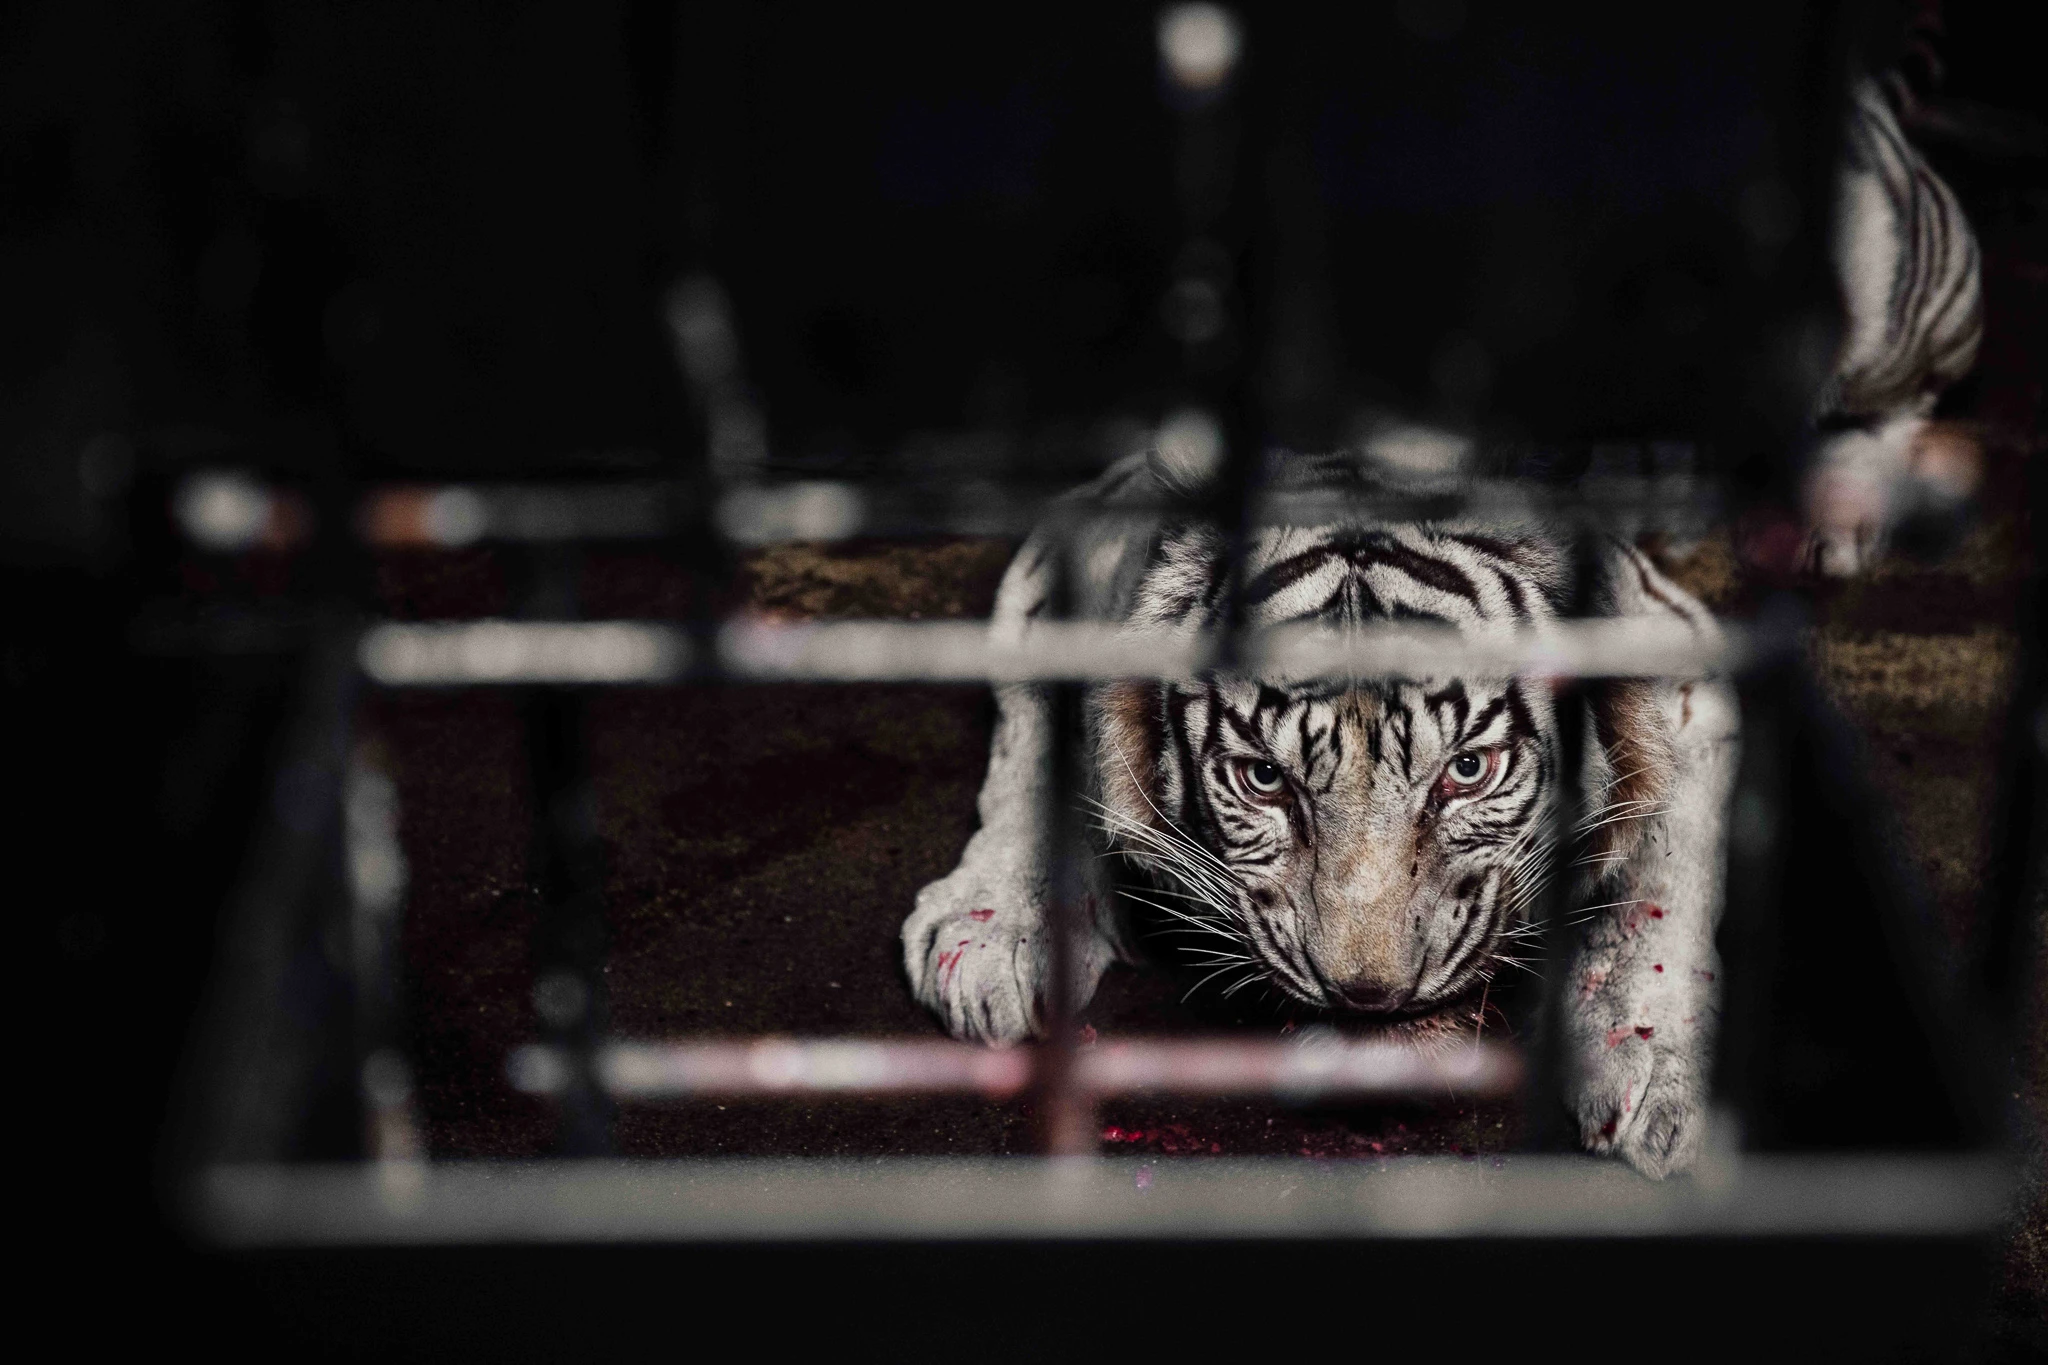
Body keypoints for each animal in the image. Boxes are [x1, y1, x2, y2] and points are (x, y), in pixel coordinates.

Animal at [901, 76, 1975, 1178]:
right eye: (1262, 779)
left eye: (1468, 770)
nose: (1368, 993)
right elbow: (1032, 744)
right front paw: (991, 931)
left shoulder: (1690, 673)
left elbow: (1662, 877)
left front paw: (1651, 1067)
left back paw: (1836, 509)